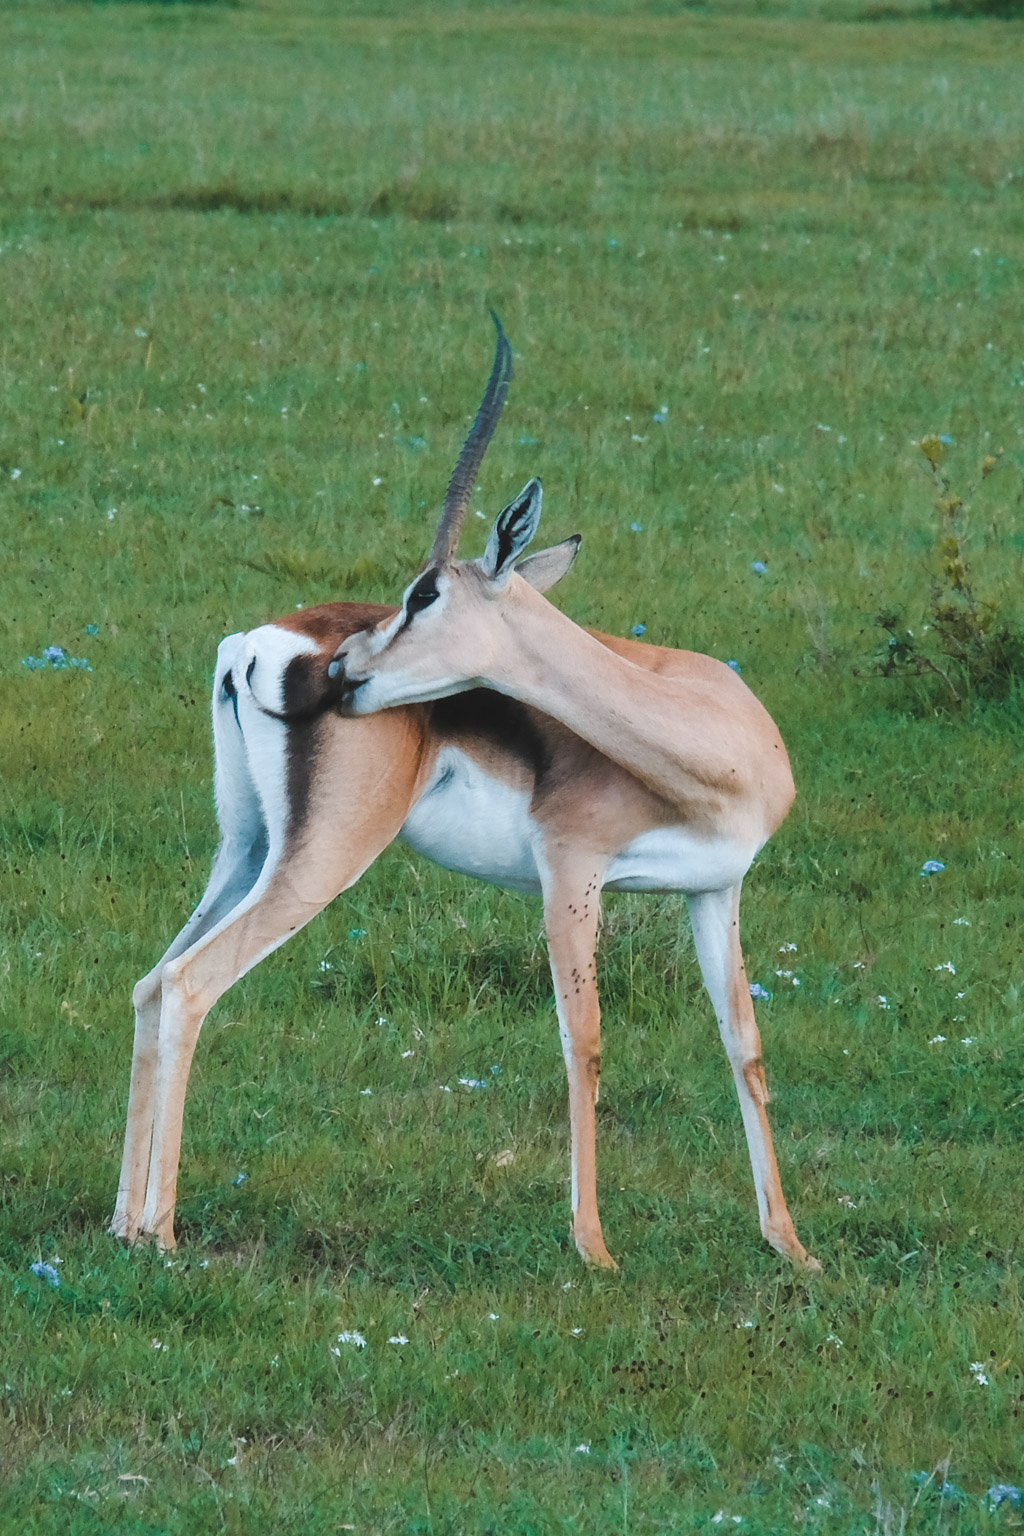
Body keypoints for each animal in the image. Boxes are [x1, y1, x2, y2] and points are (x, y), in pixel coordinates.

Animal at [112, 319, 817, 1275]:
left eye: (425, 592)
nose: (344, 669)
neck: (711, 738)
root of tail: (259, 642)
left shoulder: (717, 888)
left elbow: (743, 1044)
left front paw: (790, 1245)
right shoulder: (571, 871)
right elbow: (583, 1039)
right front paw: (594, 1248)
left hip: (249, 848)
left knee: (154, 981)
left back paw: (122, 1225)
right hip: (322, 860)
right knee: (191, 982)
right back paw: (163, 1231)